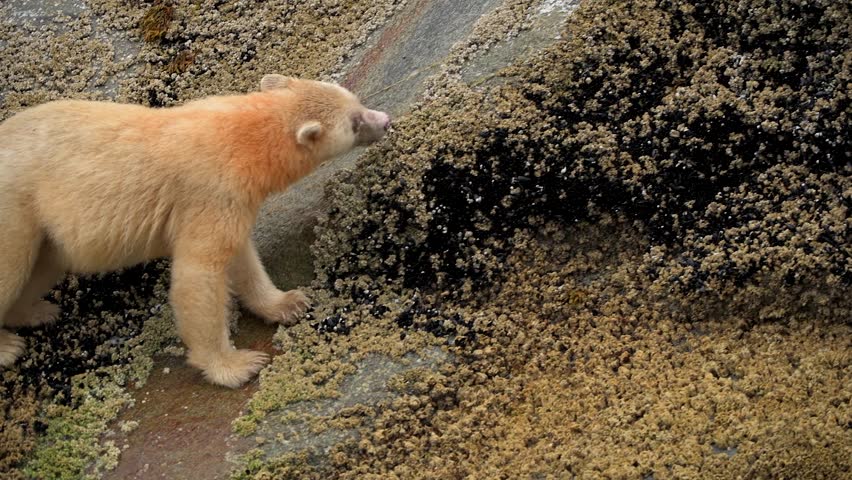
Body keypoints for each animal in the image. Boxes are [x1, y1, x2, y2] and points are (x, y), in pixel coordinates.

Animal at [0, 77, 392, 388]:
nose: (386, 121)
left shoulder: (231, 203)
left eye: (355, 99)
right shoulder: (211, 192)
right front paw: (237, 365)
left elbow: (240, 256)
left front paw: (288, 303)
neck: (242, 136)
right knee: (12, 268)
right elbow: (199, 273)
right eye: (355, 122)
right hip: (16, 206)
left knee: (40, 267)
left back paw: (37, 311)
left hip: (43, 228)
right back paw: (9, 346)